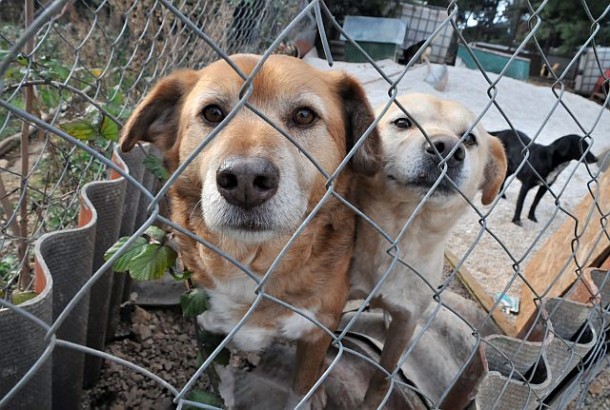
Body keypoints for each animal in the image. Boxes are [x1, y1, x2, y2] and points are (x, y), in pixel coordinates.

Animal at [119, 55, 380, 410]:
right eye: (213, 113)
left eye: (304, 115)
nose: (245, 179)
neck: (254, 262)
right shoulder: (207, 330)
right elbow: (221, 384)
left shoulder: (317, 329)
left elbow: (301, 387)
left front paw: (310, 394)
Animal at [346, 94, 504, 408]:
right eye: (402, 122)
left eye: (469, 139)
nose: (449, 149)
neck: (402, 234)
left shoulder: (406, 322)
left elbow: (383, 376)